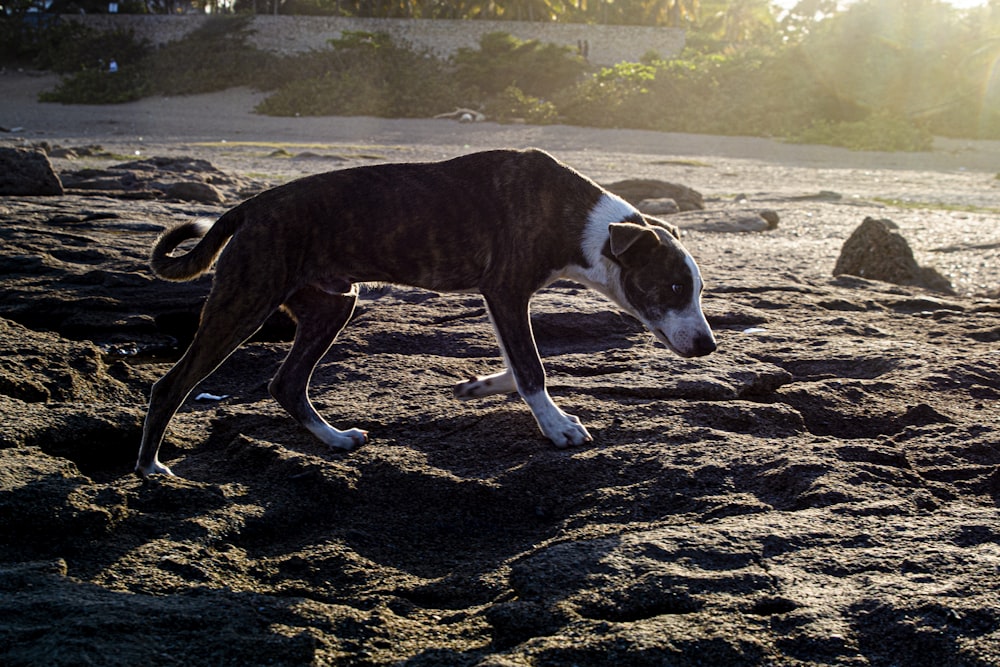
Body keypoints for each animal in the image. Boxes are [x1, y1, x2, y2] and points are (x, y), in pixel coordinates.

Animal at [135, 149, 720, 478]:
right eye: (672, 286)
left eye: (697, 289)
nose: (708, 345)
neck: (583, 222)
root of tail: (249, 206)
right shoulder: (505, 290)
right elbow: (532, 368)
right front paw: (556, 426)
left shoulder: (505, 300)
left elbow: (520, 364)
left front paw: (482, 386)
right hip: (245, 301)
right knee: (171, 385)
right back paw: (149, 466)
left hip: (333, 303)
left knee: (287, 383)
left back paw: (333, 438)